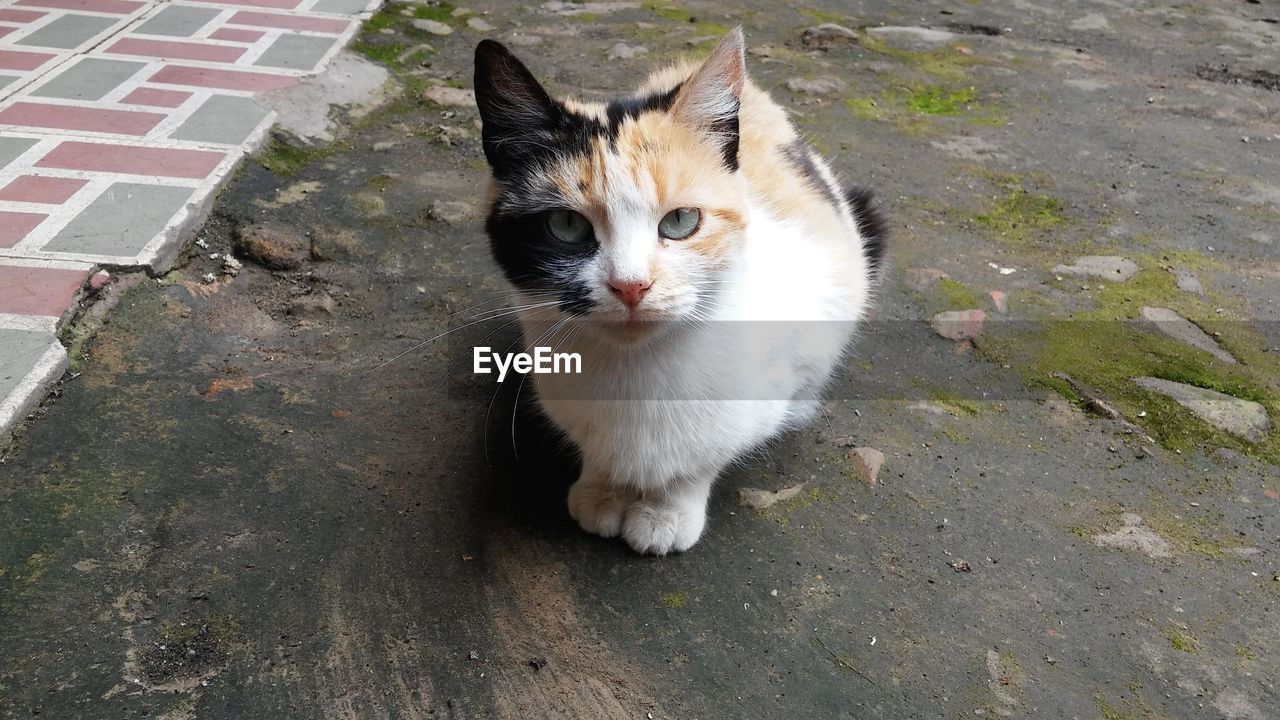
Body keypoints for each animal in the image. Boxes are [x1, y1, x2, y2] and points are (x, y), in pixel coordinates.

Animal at [476, 29, 885, 556]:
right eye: (565, 225)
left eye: (680, 221)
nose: (631, 285)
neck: (636, 376)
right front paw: (602, 491)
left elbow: (700, 460)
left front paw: (665, 512)